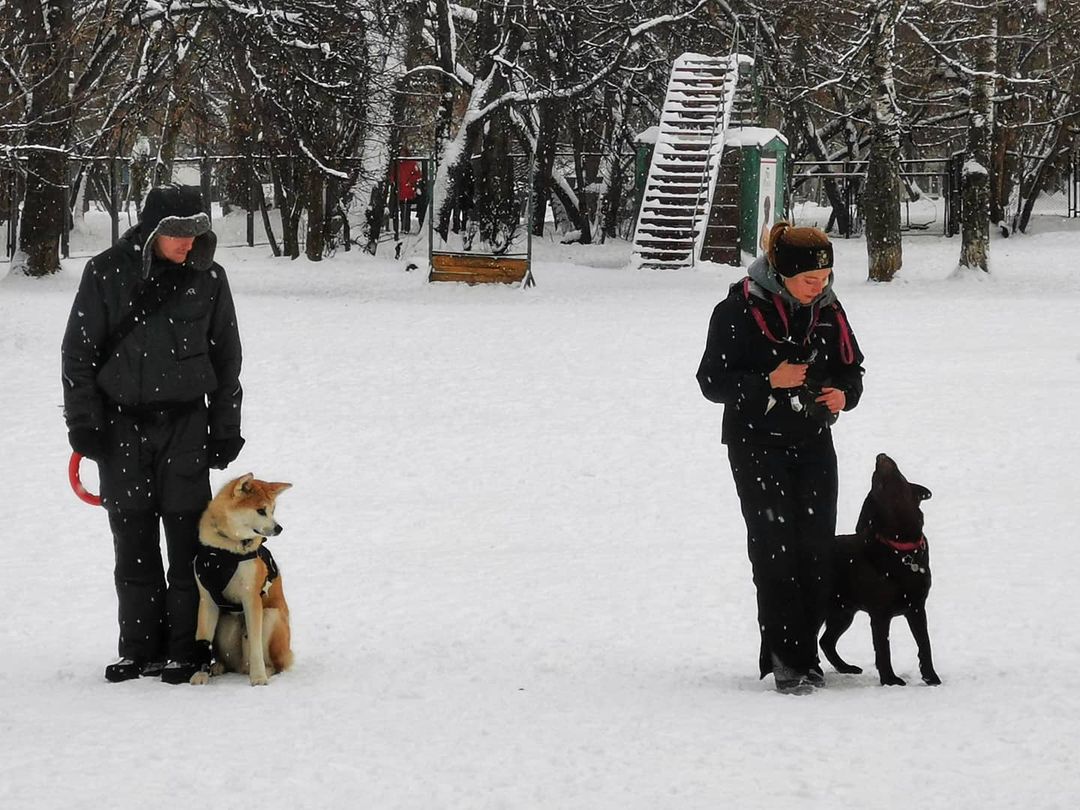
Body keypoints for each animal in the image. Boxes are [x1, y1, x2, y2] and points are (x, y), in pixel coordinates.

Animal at [189, 473, 291, 686]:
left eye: (272, 510)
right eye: (261, 510)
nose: (279, 528)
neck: (226, 548)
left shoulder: (252, 597)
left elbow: (255, 644)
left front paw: (258, 677)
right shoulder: (207, 598)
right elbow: (203, 637)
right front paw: (201, 674)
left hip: (271, 616)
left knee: (276, 665)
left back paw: (265, 670)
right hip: (225, 623)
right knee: (230, 663)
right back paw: (218, 667)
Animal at [820, 453, 941, 686]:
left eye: (900, 476)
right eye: (877, 483)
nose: (880, 456)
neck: (901, 548)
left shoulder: (917, 608)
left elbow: (925, 644)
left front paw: (931, 677)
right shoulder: (880, 614)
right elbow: (883, 649)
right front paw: (890, 680)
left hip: (843, 613)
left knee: (826, 641)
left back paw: (845, 667)